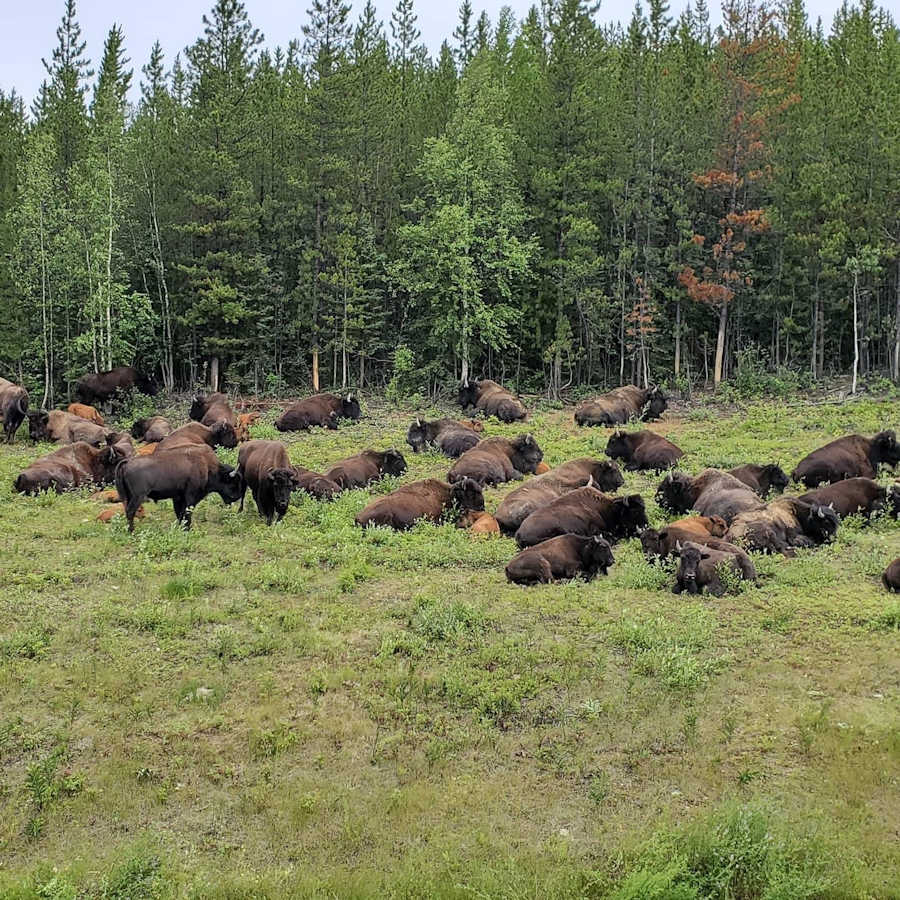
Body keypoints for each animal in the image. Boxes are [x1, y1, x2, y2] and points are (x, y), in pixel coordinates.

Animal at [115, 444, 244, 532]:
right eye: (232, 483)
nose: (236, 497)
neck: (207, 466)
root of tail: (127, 463)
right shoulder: (190, 496)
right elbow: (187, 512)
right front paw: (187, 528)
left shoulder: (178, 497)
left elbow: (180, 512)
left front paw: (181, 527)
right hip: (138, 496)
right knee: (130, 511)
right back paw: (132, 531)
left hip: (129, 495)